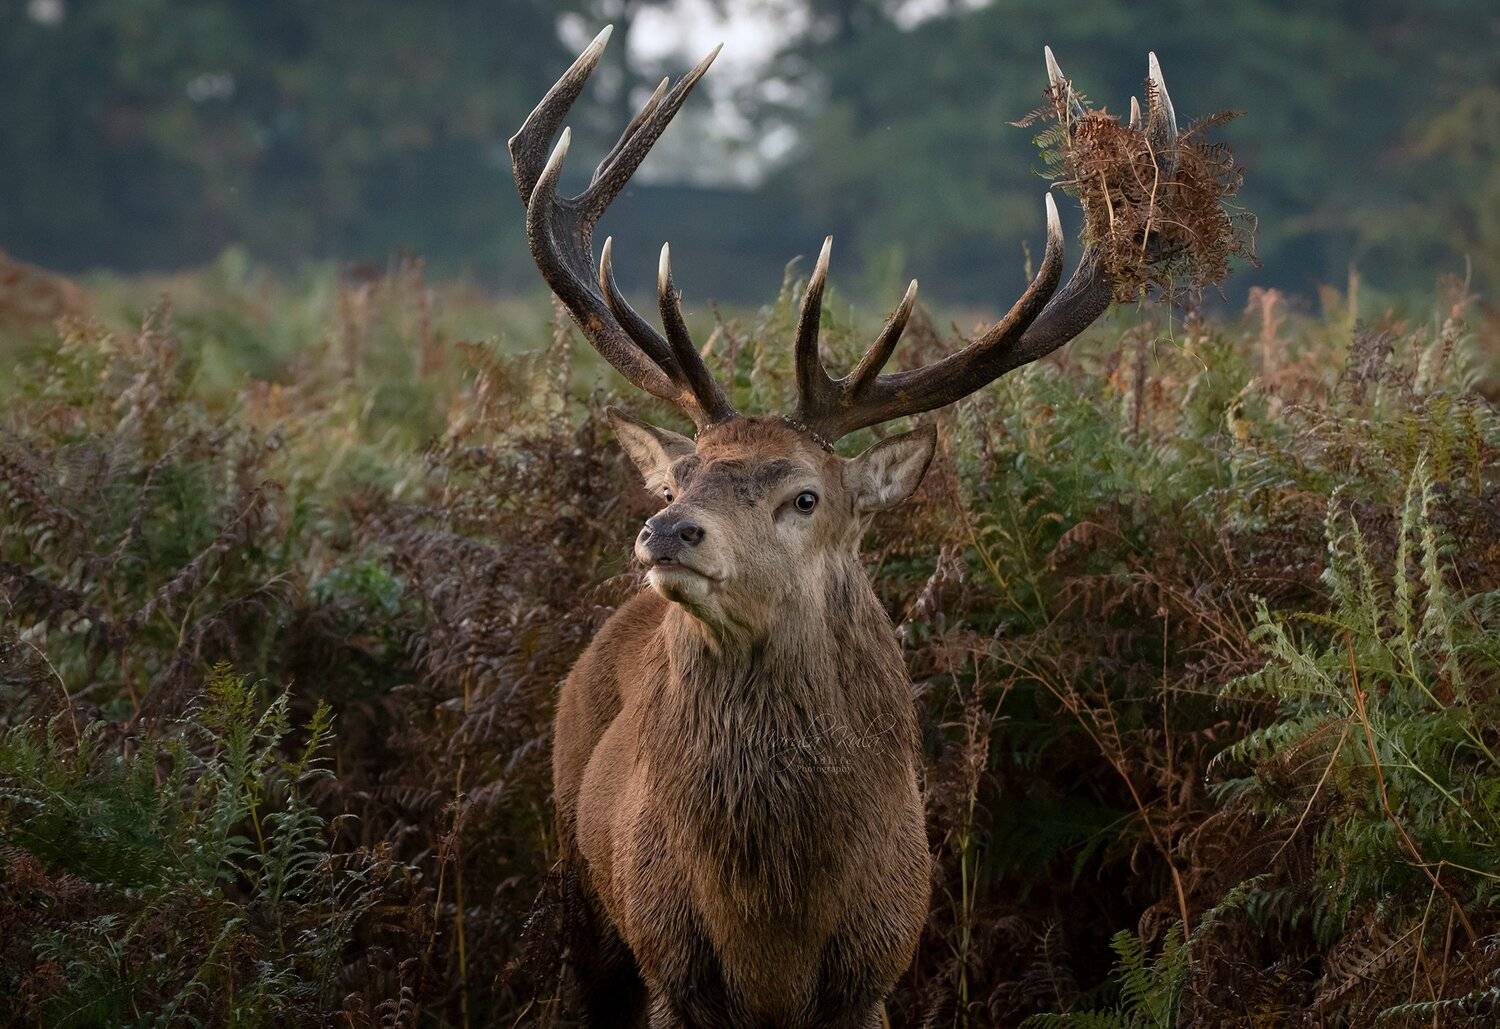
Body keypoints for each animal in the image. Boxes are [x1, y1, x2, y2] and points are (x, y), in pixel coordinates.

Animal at [511, 27, 1185, 1028]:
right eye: (680, 475)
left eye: (805, 497)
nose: (668, 531)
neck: (774, 935)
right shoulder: (671, 968)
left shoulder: (877, 964)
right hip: (578, 883)